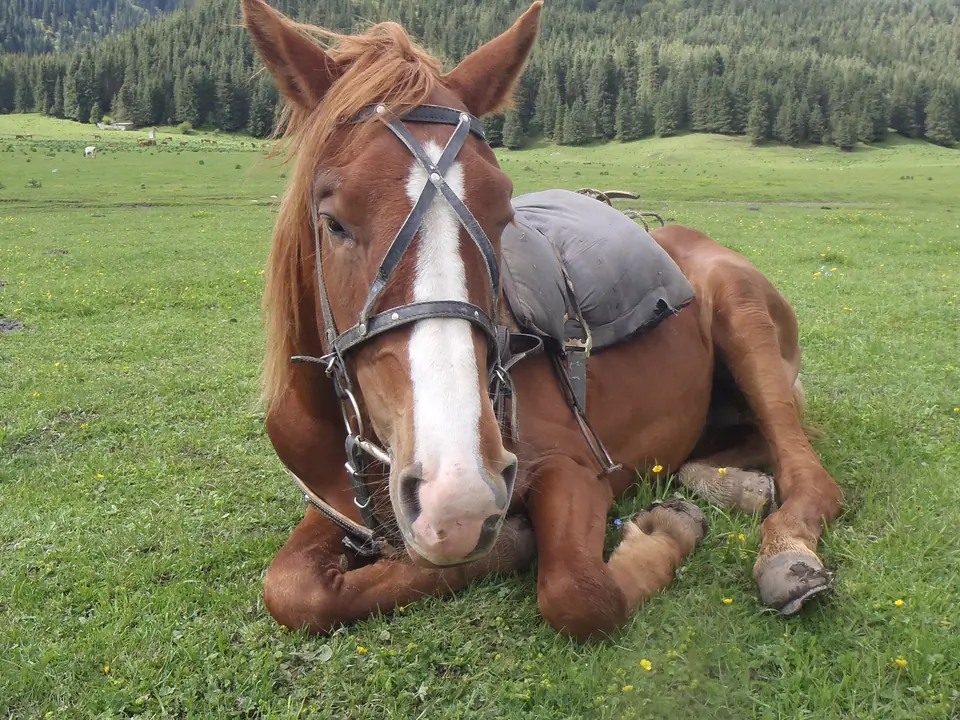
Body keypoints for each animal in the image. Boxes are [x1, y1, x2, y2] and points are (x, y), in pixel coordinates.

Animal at [240, 0, 843, 641]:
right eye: (332, 222)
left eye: (502, 212)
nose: (457, 494)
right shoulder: (337, 508)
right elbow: (293, 591)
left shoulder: (571, 469)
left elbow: (580, 594)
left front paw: (659, 532)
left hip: (743, 314)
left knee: (808, 474)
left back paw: (786, 555)